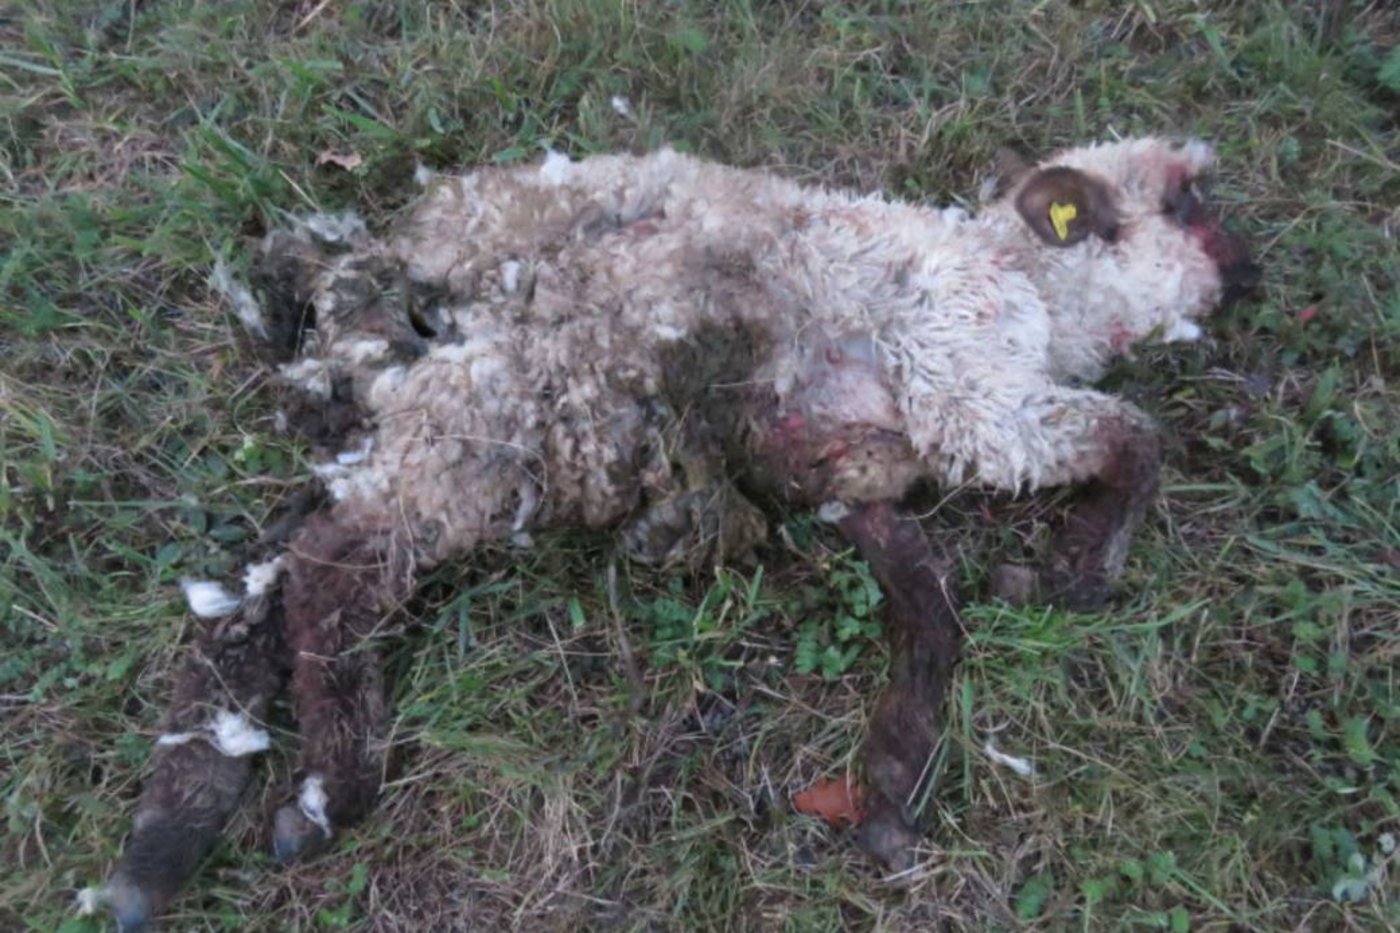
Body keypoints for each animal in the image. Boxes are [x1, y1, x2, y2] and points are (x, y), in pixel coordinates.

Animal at [93, 137, 1257, 930]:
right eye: (1185, 199)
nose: (1251, 268)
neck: (1021, 279)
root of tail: (370, 277)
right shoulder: (967, 387)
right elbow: (1128, 438)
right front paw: (1074, 573)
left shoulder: (849, 473)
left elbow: (927, 611)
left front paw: (887, 793)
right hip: (493, 422)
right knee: (334, 568)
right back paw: (329, 789)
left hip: (405, 426)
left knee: (260, 576)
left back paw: (164, 842)